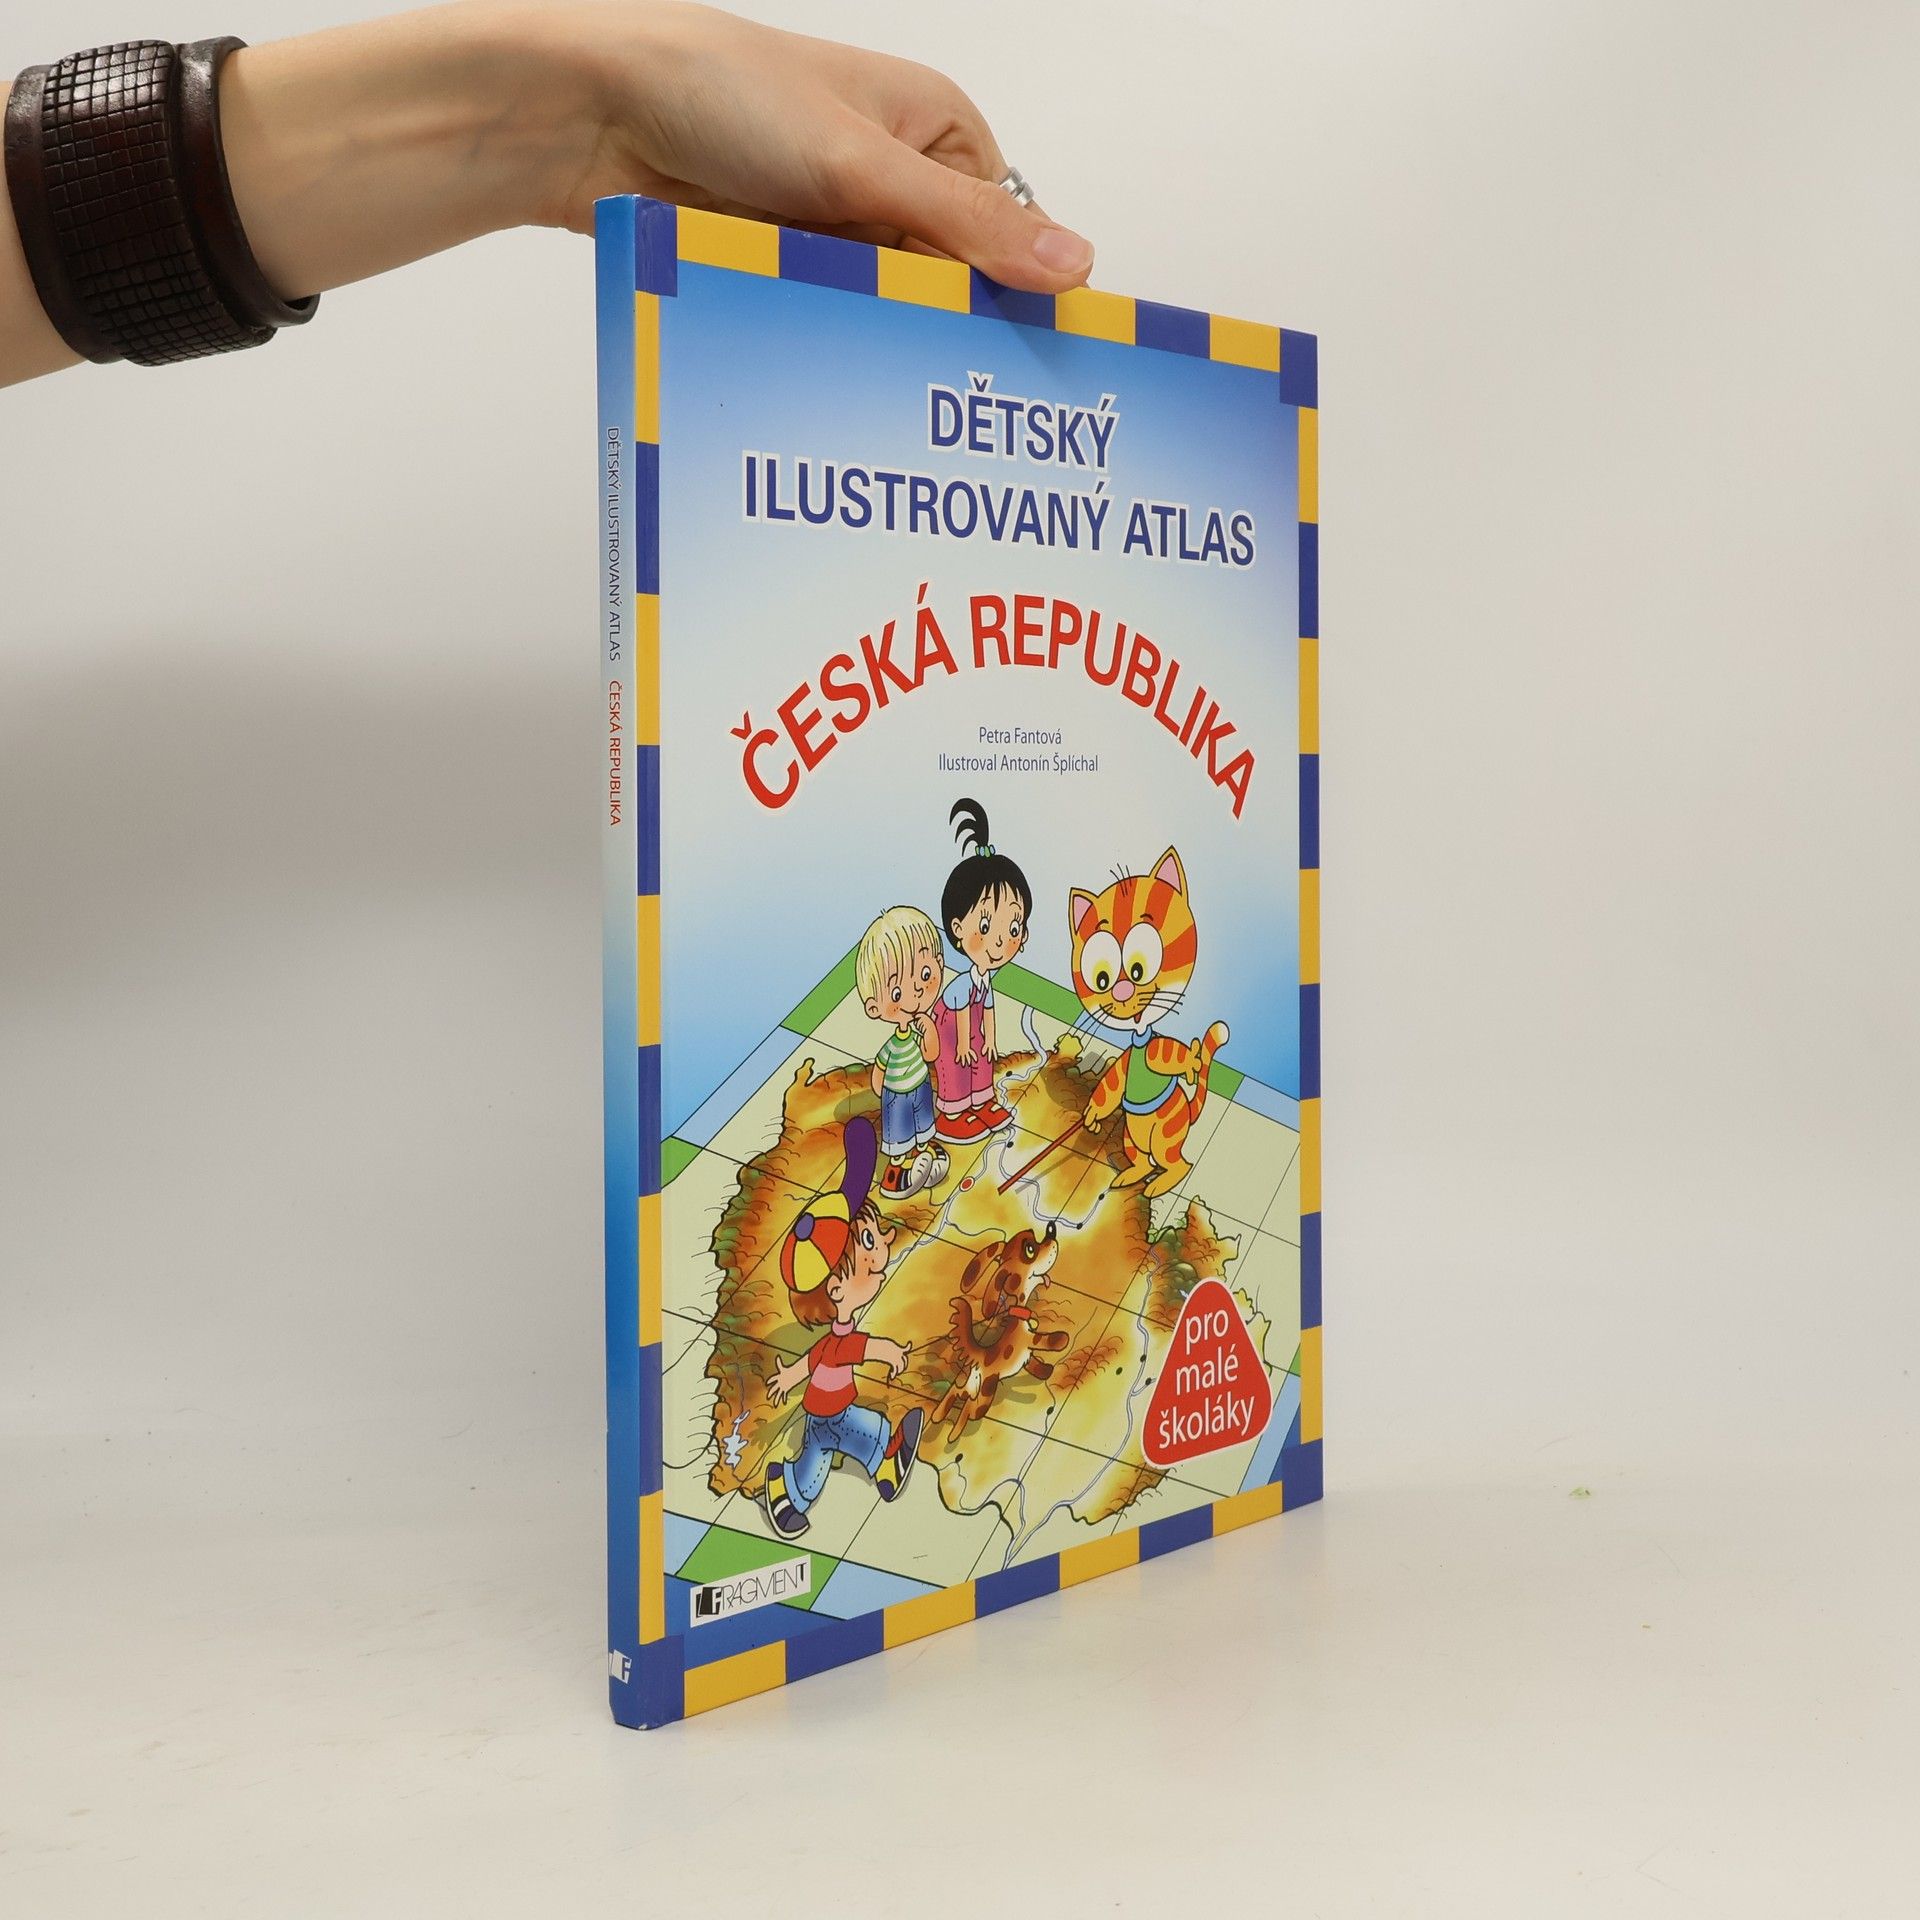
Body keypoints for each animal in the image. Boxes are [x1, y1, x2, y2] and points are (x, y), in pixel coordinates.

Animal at [931, 1222, 1069, 1441]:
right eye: (1030, 1249)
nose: (1051, 1230)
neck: (1019, 1313)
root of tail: (980, 1359)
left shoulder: (1027, 1355)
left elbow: (1036, 1364)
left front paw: (1046, 1370)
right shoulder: (1029, 1341)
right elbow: (1048, 1340)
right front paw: (1062, 1339)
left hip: (972, 1385)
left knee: (958, 1392)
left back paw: (941, 1418)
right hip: (986, 1390)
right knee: (971, 1409)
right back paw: (954, 1432)